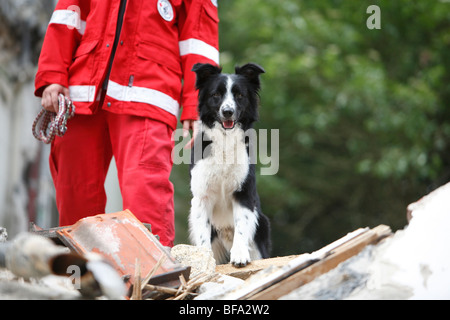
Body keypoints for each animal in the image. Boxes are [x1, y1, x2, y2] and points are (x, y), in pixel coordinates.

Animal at [187, 63, 270, 268]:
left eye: (239, 95)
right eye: (216, 94)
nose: (227, 112)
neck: (225, 141)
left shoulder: (244, 193)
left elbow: (241, 225)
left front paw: (239, 255)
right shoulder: (202, 197)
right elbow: (203, 234)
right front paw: (205, 260)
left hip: (262, 226)